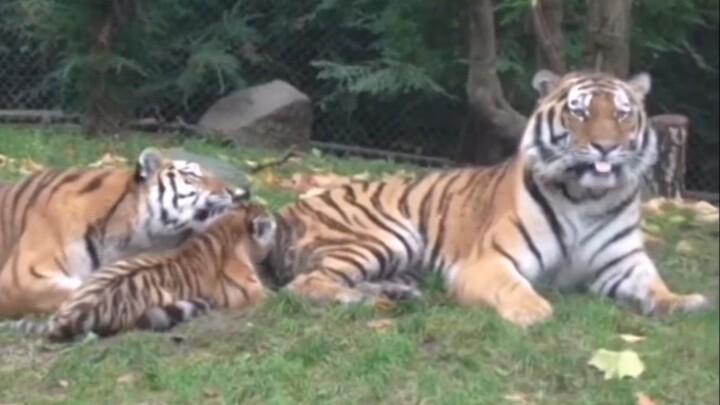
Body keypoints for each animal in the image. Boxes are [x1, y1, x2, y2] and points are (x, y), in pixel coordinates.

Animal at [256, 69, 712, 327]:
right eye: (579, 111)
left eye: (621, 113)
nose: (605, 147)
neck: (586, 198)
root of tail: (286, 212)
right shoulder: (489, 263)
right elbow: (515, 288)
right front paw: (533, 311)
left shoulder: (623, 264)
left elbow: (655, 286)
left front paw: (684, 302)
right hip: (385, 235)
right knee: (306, 284)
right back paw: (359, 298)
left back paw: (395, 294)